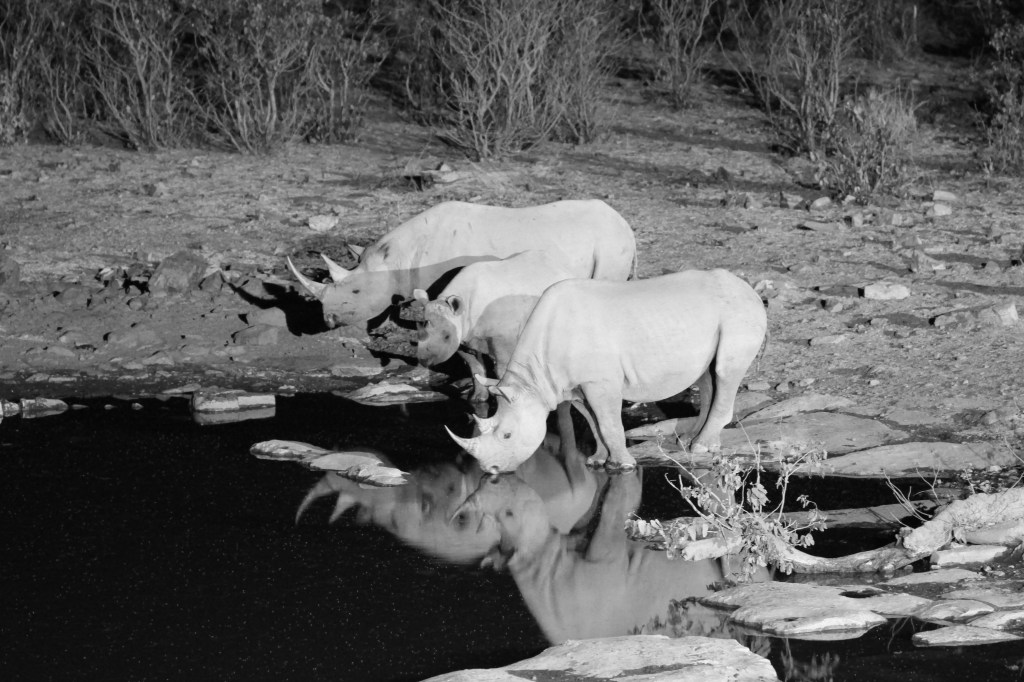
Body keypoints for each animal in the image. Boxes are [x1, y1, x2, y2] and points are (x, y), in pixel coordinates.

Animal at [447, 269, 768, 474]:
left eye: (507, 436)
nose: (490, 469)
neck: (533, 383)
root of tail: (750, 290)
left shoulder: (600, 382)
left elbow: (609, 423)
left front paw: (623, 465)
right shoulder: (571, 385)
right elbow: (593, 421)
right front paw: (597, 461)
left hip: (739, 314)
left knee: (724, 371)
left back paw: (700, 448)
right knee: (707, 376)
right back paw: (690, 441)